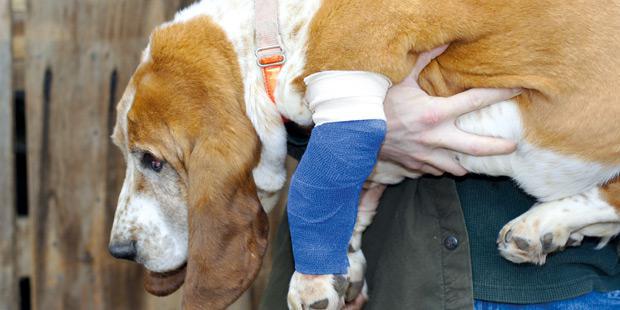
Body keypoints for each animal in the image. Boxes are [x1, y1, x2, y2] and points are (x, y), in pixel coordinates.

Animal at [109, 0, 620, 308]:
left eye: (152, 160)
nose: (120, 251)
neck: (268, 39)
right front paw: (339, 267)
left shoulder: (348, 90)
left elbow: (312, 188)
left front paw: (311, 277)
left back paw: (539, 226)